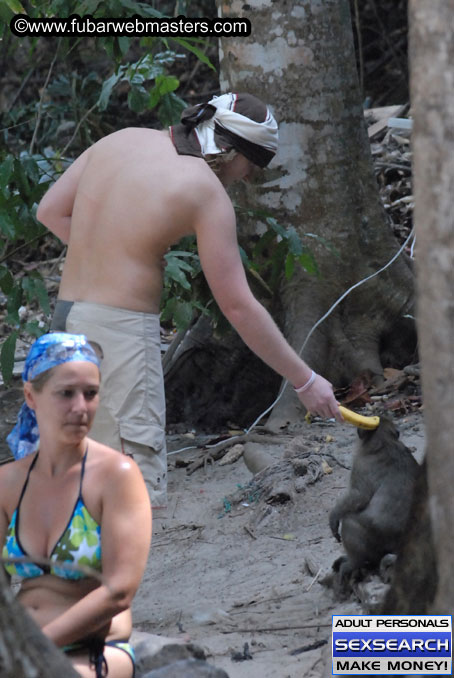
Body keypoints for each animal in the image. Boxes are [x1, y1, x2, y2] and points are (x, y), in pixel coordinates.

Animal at [330, 418, 422, 592]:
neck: (385, 441)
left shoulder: (361, 464)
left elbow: (359, 496)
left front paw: (334, 516)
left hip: (377, 540)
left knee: (350, 523)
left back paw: (353, 563)